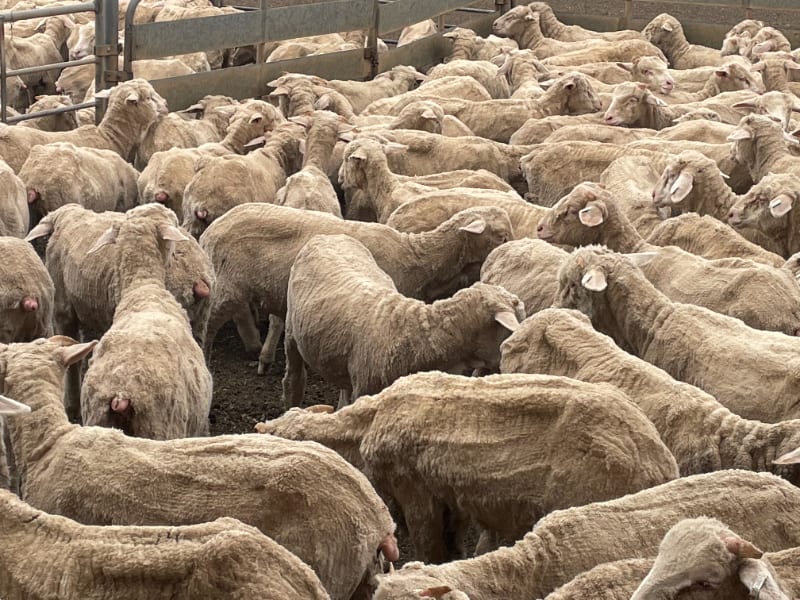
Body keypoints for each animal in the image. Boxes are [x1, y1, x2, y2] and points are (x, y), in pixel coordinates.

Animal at [260, 370, 677, 560]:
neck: (367, 423)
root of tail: (659, 461)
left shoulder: (415, 492)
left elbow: (430, 547)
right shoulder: (448, 493)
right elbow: (452, 542)